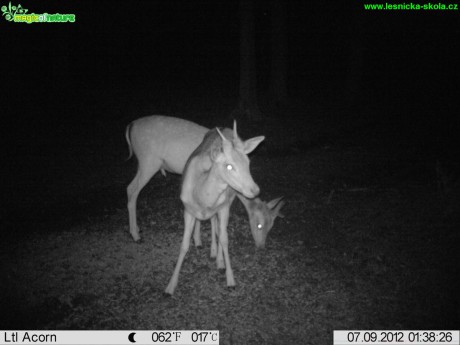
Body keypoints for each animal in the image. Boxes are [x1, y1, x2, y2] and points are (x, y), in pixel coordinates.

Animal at [126, 115, 284, 247]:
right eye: (259, 224)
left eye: (271, 225)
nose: (261, 246)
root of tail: (130, 125)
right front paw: (205, 241)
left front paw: (197, 240)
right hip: (149, 161)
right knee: (134, 190)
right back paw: (135, 235)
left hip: (142, 163)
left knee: (129, 187)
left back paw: (137, 229)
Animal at [166, 121, 266, 292]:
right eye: (229, 166)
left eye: (248, 162)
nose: (255, 190)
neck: (200, 194)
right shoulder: (187, 209)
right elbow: (184, 244)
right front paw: (170, 286)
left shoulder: (223, 207)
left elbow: (224, 238)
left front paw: (230, 279)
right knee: (212, 222)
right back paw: (203, 244)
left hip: (229, 199)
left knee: (218, 226)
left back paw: (218, 259)